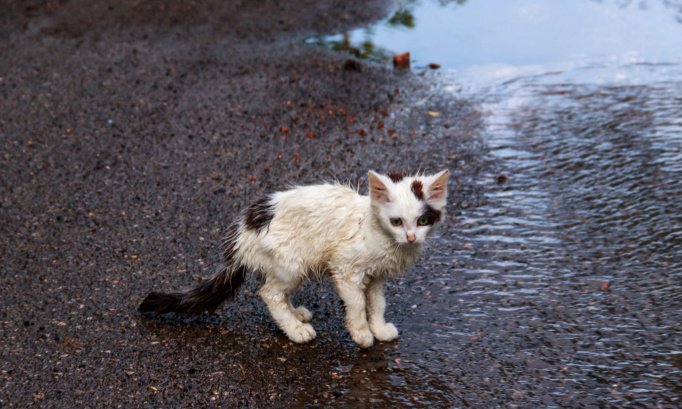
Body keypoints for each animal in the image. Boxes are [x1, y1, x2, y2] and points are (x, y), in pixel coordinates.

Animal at [138, 169, 446, 348]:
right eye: (396, 221)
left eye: (422, 221)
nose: (411, 237)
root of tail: (244, 230)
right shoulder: (345, 268)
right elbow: (357, 304)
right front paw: (361, 335)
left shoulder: (376, 275)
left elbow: (377, 303)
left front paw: (379, 329)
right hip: (292, 261)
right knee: (269, 293)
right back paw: (296, 330)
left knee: (277, 292)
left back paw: (295, 314)